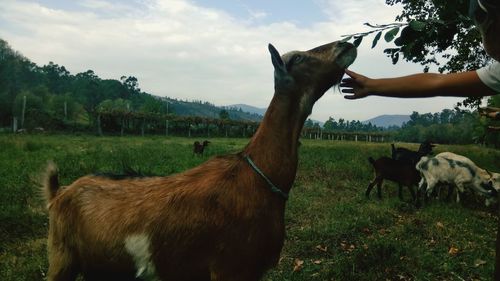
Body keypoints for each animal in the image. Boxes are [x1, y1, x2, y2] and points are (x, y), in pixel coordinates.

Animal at [42, 40, 356, 278]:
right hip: (62, 257)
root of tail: (58, 193)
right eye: (299, 57)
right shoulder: (231, 268)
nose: (346, 44)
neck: (258, 175)